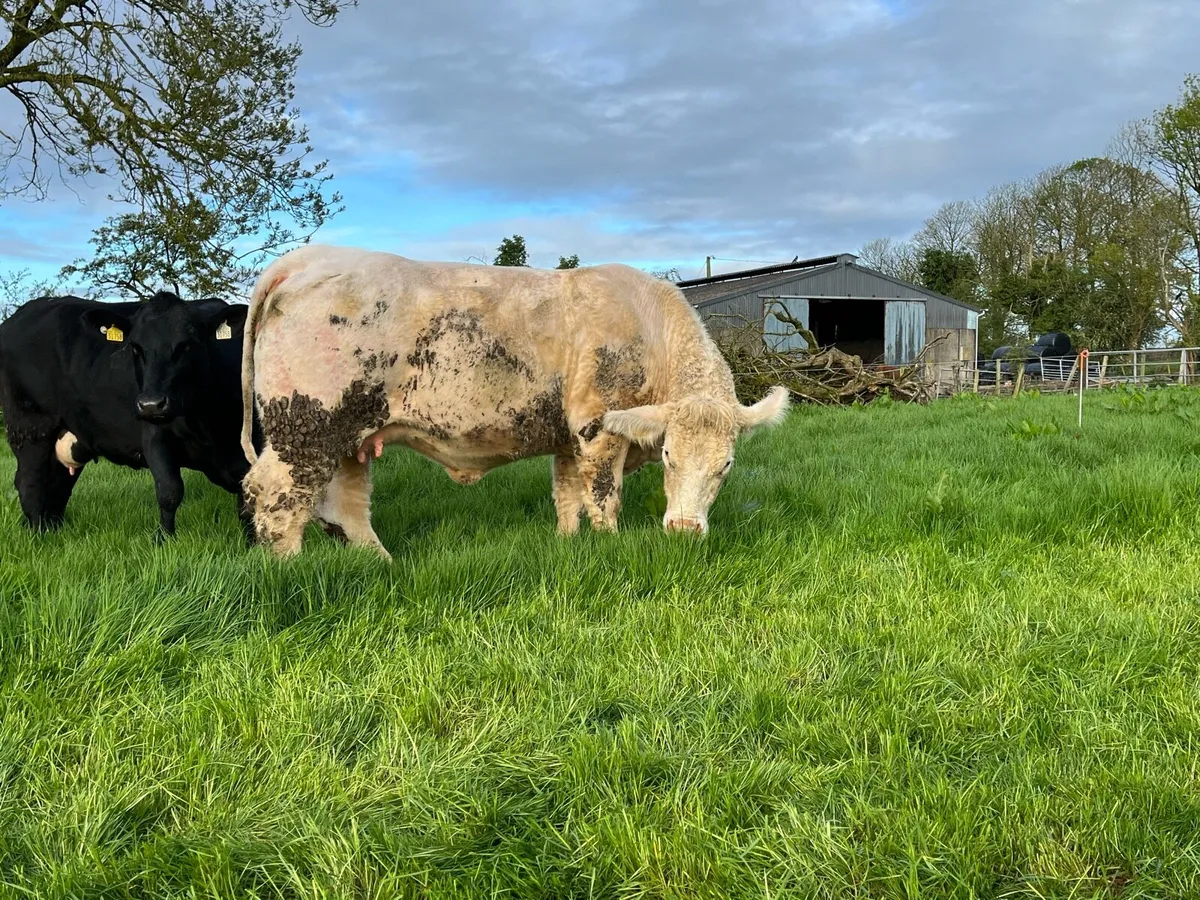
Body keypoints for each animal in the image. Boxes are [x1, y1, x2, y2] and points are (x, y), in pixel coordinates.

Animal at [0, 290, 259, 540]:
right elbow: (169, 492)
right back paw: (39, 536)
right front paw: (163, 541)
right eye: (135, 348)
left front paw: (251, 543)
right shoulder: (155, 436)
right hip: (30, 429)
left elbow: (247, 501)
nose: (151, 404)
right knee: (30, 483)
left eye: (187, 345)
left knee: (57, 485)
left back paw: (52, 530)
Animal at [239, 244, 790, 560]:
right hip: (308, 422)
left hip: (351, 435)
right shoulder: (598, 427)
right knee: (277, 495)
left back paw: (384, 566)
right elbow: (603, 497)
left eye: (726, 465)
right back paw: (288, 569)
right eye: (671, 455)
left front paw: (568, 545)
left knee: (344, 505)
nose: (683, 530)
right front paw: (611, 547)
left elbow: (567, 496)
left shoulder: (568, 438)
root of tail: (304, 260)